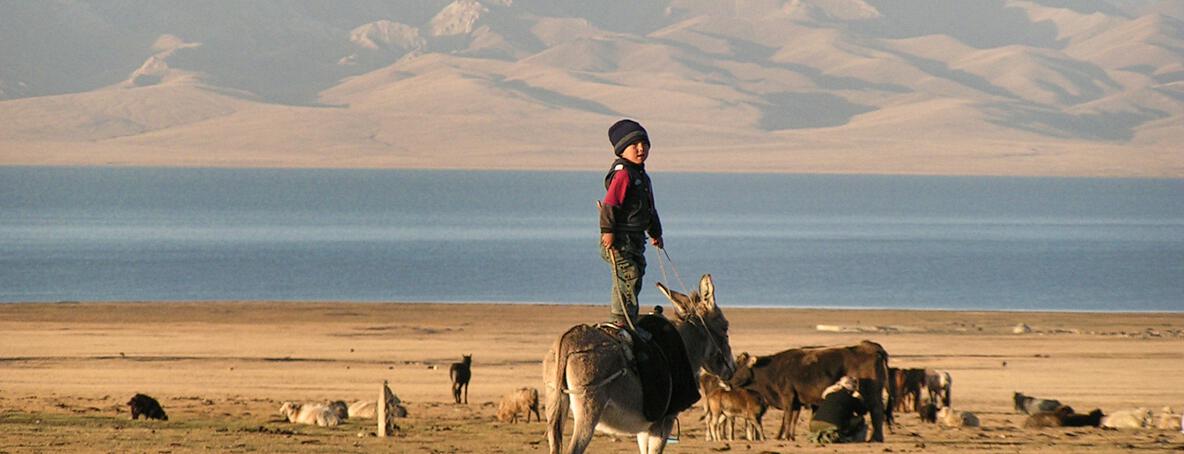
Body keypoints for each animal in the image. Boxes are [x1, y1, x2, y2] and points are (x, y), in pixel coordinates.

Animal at [724, 341, 890, 445]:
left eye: (740, 367)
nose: (729, 382)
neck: (773, 369)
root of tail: (868, 347)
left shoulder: (787, 396)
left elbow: (787, 417)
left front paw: (785, 436)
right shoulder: (796, 401)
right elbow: (792, 419)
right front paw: (788, 436)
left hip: (872, 394)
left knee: (876, 412)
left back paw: (876, 438)